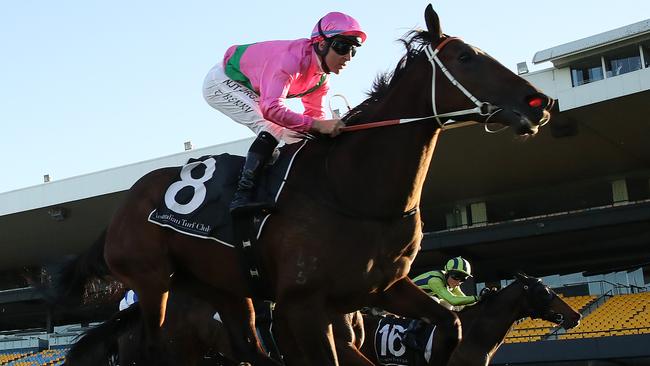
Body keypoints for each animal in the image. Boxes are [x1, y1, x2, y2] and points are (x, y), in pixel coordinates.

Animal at [54, 5, 552, 366]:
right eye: (466, 57)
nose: (540, 102)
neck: (350, 189)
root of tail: (121, 207)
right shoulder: (304, 307)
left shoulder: (384, 287)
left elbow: (451, 324)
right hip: (153, 281)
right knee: (156, 349)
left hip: (225, 291)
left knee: (248, 350)